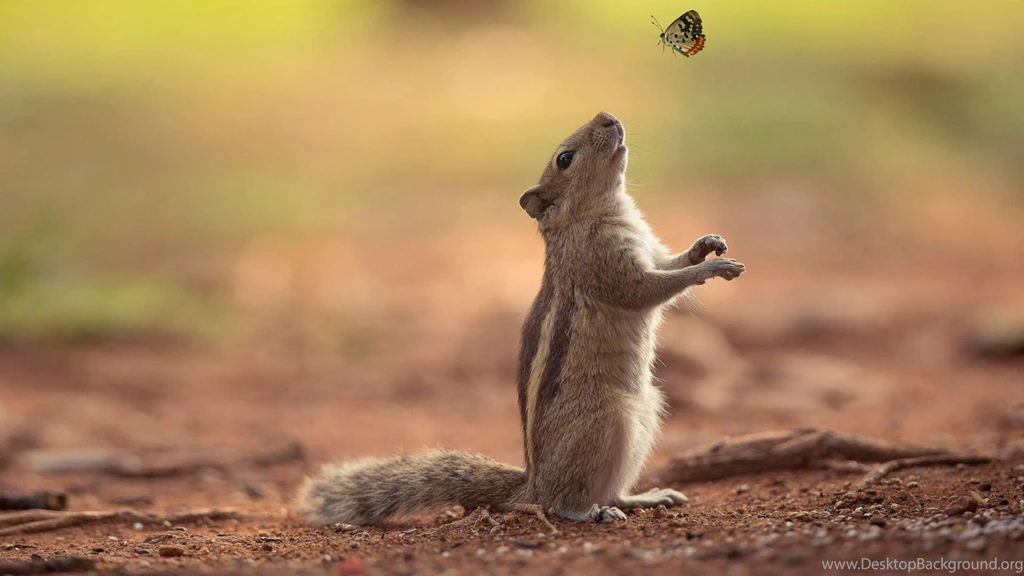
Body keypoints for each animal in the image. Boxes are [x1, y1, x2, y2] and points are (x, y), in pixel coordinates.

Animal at [296, 111, 745, 525]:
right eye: (564, 159)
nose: (607, 116)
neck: (593, 213)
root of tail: (533, 483)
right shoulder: (604, 264)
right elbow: (648, 290)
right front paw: (712, 268)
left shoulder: (650, 250)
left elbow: (671, 262)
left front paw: (706, 245)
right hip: (608, 420)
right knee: (563, 502)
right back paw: (591, 512)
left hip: (647, 412)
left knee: (611, 489)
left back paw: (645, 498)